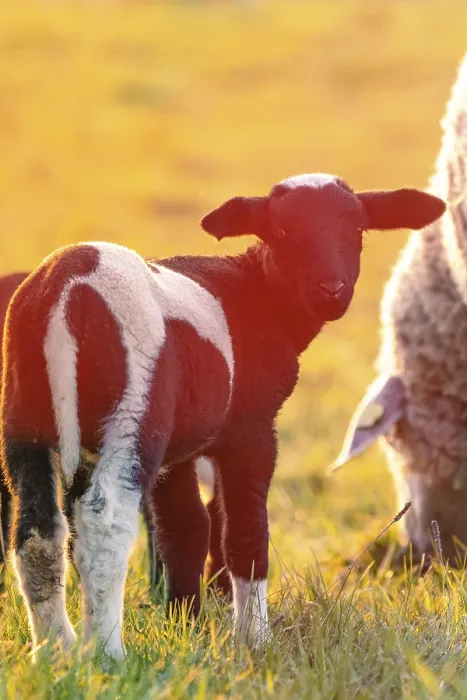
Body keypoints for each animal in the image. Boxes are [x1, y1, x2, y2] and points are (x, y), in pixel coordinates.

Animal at [0, 174, 444, 661]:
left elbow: (184, 531)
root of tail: (67, 291)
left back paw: (54, 652)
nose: (332, 289)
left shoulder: (180, 449)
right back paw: (107, 653)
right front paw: (253, 638)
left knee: (37, 534)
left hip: (25, 418)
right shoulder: (251, 428)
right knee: (104, 522)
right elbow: (246, 533)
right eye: (282, 231)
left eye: (358, 229)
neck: (258, 294)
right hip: (133, 413)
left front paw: (184, 625)